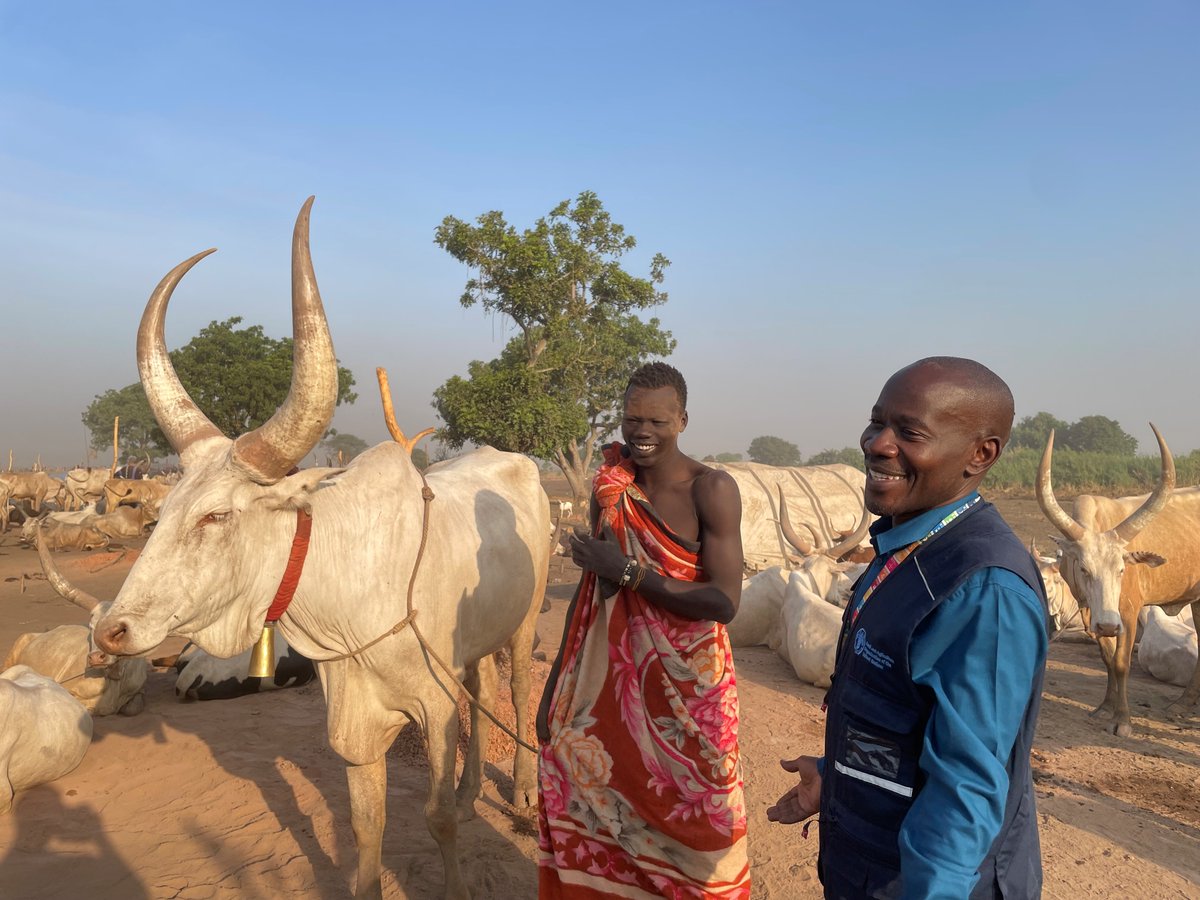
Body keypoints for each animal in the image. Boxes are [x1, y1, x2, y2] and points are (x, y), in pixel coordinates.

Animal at [93, 198, 549, 900]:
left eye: (216, 515)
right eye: (159, 513)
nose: (112, 631)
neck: (352, 591)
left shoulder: (435, 708)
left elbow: (437, 816)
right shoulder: (355, 718)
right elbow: (366, 822)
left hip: (524, 624)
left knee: (521, 692)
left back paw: (520, 791)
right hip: (475, 646)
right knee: (488, 689)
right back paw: (477, 790)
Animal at [1037, 425, 1200, 735]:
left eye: (1122, 570)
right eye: (1084, 569)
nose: (1109, 625)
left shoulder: (1127, 612)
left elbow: (1122, 662)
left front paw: (1122, 720)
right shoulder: (1094, 614)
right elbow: (1107, 659)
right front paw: (1104, 708)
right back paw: (1183, 705)